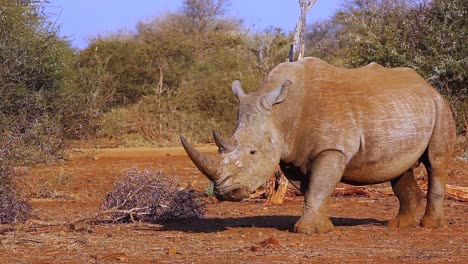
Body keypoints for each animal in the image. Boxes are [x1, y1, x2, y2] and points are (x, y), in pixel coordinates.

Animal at [181, 57, 456, 233]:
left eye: (252, 152)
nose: (224, 193)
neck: (281, 115)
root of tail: (427, 85)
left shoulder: (332, 148)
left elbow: (319, 186)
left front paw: (306, 231)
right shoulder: (294, 155)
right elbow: (313, 188)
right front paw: (323, 227)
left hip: (441, 106)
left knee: (436, 162)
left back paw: (430, 226)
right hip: (406, 108)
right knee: (400, 168)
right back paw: (398, 226)